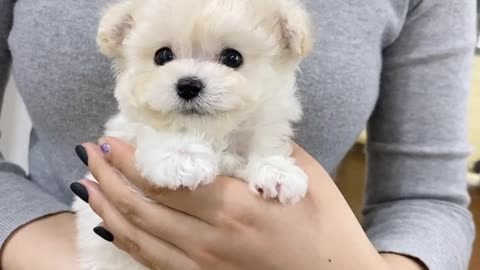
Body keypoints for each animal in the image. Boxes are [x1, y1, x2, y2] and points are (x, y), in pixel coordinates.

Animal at [73, 0, 314, 268]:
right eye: (162, 55)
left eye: (232, 57)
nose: (188, 85)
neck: (212, 133)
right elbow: (154, 129)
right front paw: (181, 157)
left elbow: (264, 144)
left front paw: (276, 171)